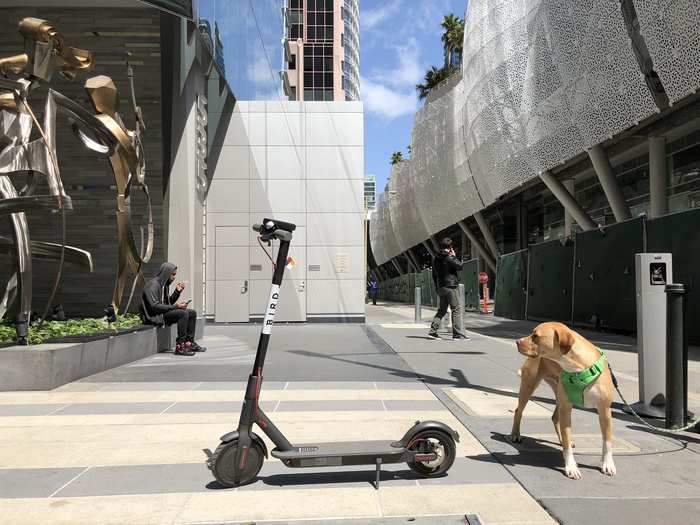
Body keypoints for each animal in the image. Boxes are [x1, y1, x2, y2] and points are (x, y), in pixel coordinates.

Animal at [512, 320, 616, 478]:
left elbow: (607, 441)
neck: (579, 367)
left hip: (558, 396)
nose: (517, 341)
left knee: (555, 417)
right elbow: (567, 443)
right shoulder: (567, 408)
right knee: (519, 411)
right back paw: (515, 435)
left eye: (536, 336)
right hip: (529, 386)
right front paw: (571, 467)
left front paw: (608, 464)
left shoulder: (604, 410)